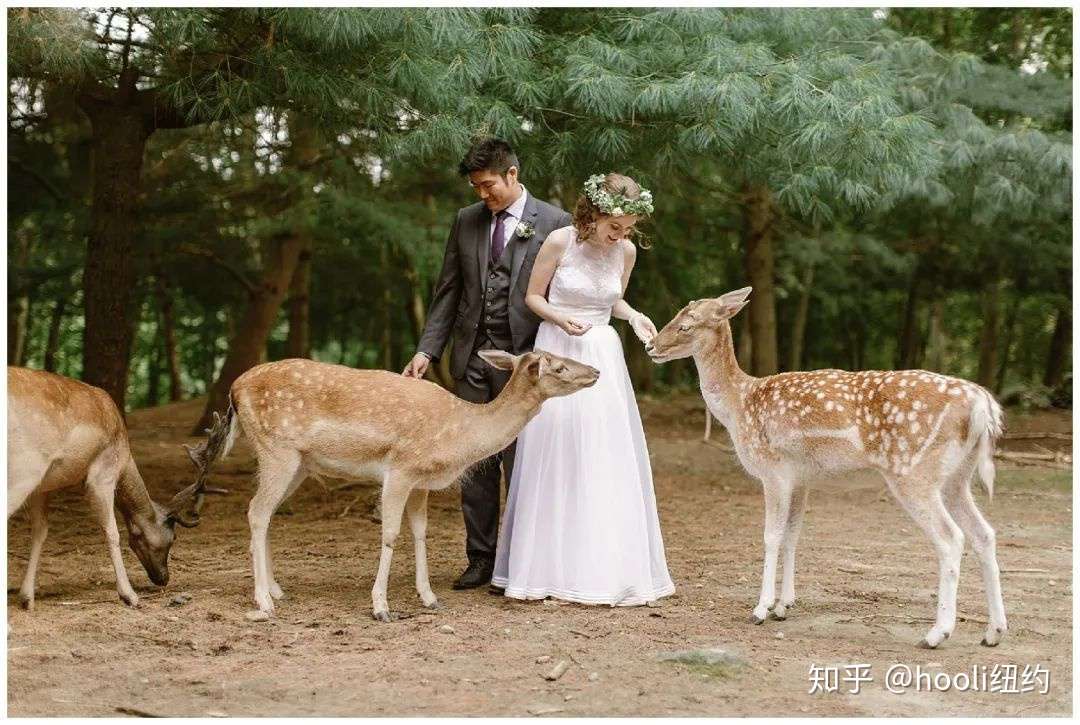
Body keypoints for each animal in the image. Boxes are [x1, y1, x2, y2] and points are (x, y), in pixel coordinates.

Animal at [7, 367, 209, 609]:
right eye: (173, 538)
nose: (164, 578)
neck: (125, 455)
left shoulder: (43, 487)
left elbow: (40, 530)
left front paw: (27, 597)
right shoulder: (102, 473)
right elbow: (112, 531)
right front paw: (129, 595)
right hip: (25, 468)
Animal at [184, 350, 599, 622]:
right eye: (559, 365)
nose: (595, 371)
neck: (458, 436)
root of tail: (234, 391)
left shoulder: (422, 481)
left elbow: (420, 532)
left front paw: (429, 597)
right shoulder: (400, 469)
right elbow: (390, 534)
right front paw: (381, 606)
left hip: (298, 463)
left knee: (266, 515)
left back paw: (276, 591)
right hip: (276, 450)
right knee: (256, 511)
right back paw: (263, 603)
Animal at [646, 288, 1007, 649]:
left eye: (687, 325)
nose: (650, 345)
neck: (739, 406)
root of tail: (983, 406)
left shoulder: (773, 470)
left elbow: (771, 536)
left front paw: (761, 609)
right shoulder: (801, 478)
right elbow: (792, 536)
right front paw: (784, 605)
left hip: (913, 470)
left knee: (951, 538)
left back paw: (936, 633)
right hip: (957, 476)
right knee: (984, 533)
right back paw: (994, 631)